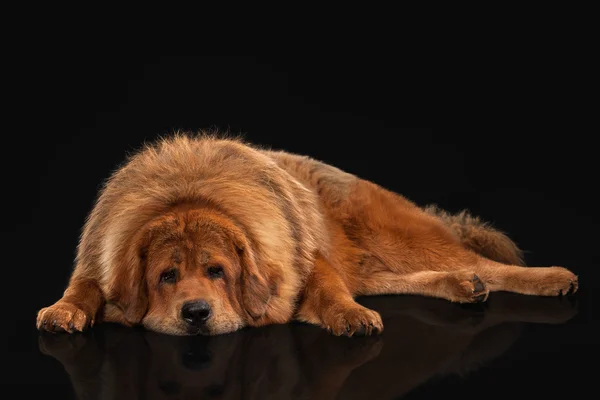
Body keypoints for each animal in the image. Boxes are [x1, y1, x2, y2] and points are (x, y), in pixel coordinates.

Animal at [35, 133, 580, 336]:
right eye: (167, 276)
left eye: (217, 271)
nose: (196, 313)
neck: (187, 194)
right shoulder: (98, 260)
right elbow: (82, 288)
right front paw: (62, 311)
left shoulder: (306, 263)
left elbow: (331, 291)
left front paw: (351, 317)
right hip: (376, 262)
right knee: (414, 275)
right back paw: (463, 287)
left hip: (399, 236)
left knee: (483, 261)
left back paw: (551, 277)